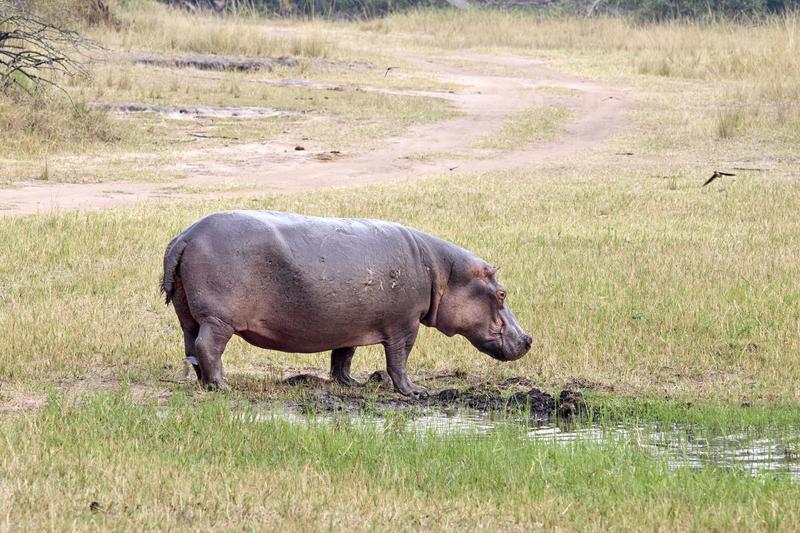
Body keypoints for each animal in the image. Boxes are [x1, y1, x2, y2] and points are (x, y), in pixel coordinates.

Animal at [162, 211, 532, 394]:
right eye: (502, 294)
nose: (528, 339)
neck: (442, 272)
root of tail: (186, 236)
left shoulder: (348, 324)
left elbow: (343, 356)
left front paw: (351, 384)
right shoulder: (405, 325)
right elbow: (398, 360)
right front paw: (415, 391)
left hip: (188, 315)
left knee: (191, 344)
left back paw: (204, 382)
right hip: (219, 319)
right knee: (209, 346)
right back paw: (222, 386)